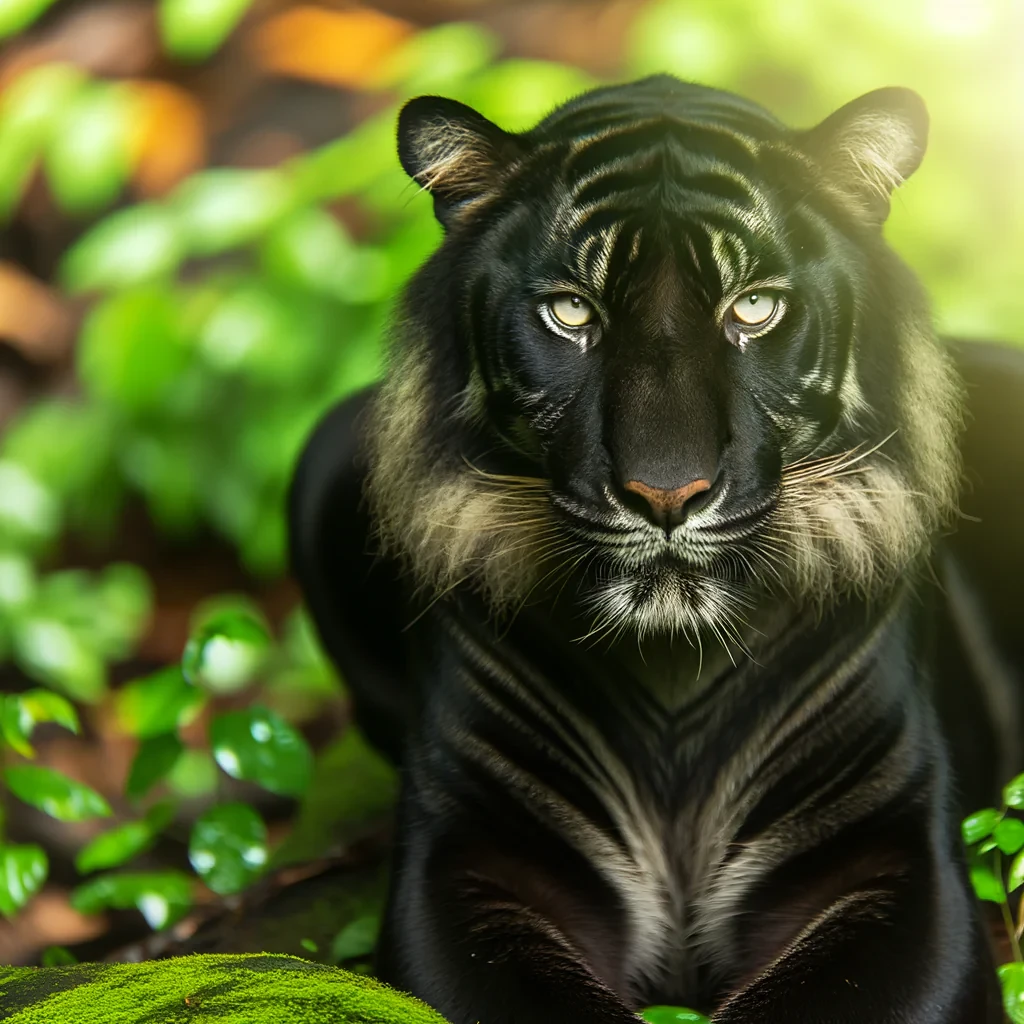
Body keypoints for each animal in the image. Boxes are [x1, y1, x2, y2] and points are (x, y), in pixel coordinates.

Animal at [290, 75, 1023, 1023]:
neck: (673, 670)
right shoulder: (470, 849)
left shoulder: (893, 851)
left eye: (754, 306)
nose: (665, 493)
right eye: (572, 310)